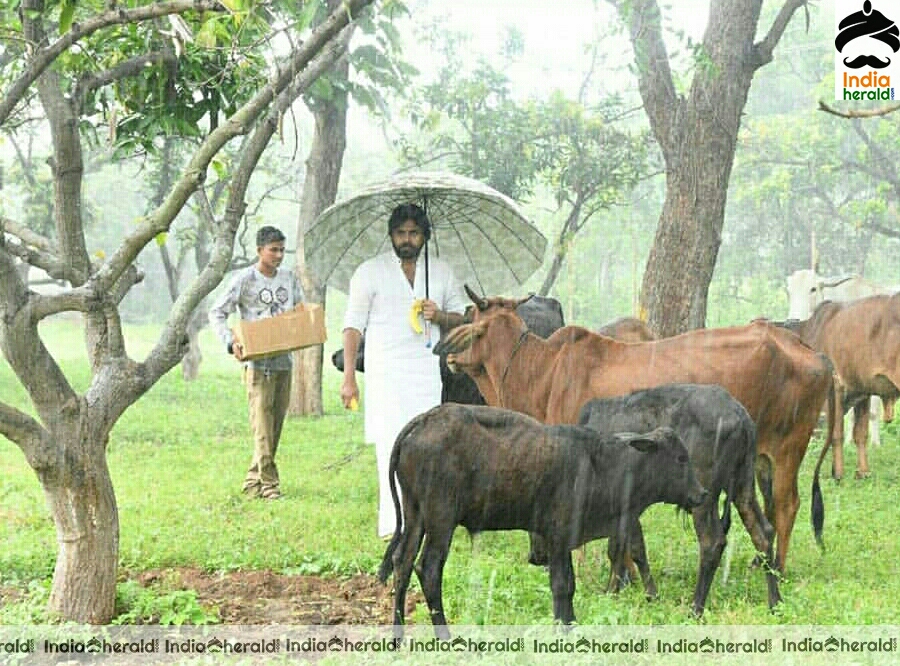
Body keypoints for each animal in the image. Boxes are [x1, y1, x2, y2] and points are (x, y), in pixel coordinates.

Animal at [376, 402, 708, 636]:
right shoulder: (558, 538)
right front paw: (564, 629)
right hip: (440, 519)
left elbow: (567, 585)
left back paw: (398, 636)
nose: (702, 493)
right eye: (681, 459)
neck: (603, 466)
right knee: (428, 568)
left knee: (402, 562)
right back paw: (444, 635)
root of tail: (425, 418)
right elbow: (563, 585)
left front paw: (569, 625)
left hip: (416, 515)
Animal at [436, 302, 836, 572]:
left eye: (471, 322)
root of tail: (810, 349)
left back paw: (778, 569)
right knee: (766, 509)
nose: (445, 353)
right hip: (760, 461)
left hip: (789, 449)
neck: (546, 371)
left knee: (787, 505)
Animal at [776, 294, 896, 478]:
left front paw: (838, 474)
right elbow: (860, 433)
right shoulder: (862, 391)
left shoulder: (836, 387)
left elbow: (836, 433)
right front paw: (863, 473)